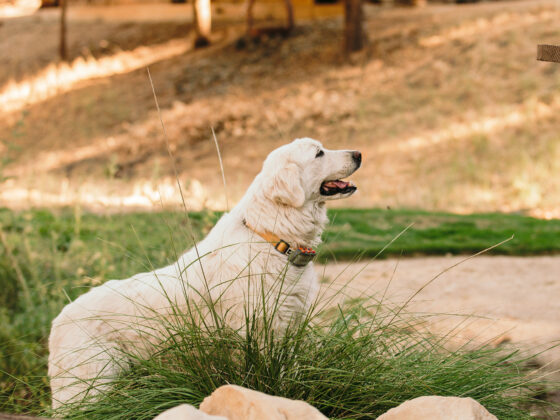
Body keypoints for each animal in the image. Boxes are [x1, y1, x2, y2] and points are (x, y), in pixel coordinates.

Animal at [48, 137, 362, 409]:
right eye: (319, 153)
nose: (359, 153)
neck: (272, 239)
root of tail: (57, 322)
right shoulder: (257, 334)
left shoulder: (289, 327)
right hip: (88, 385)